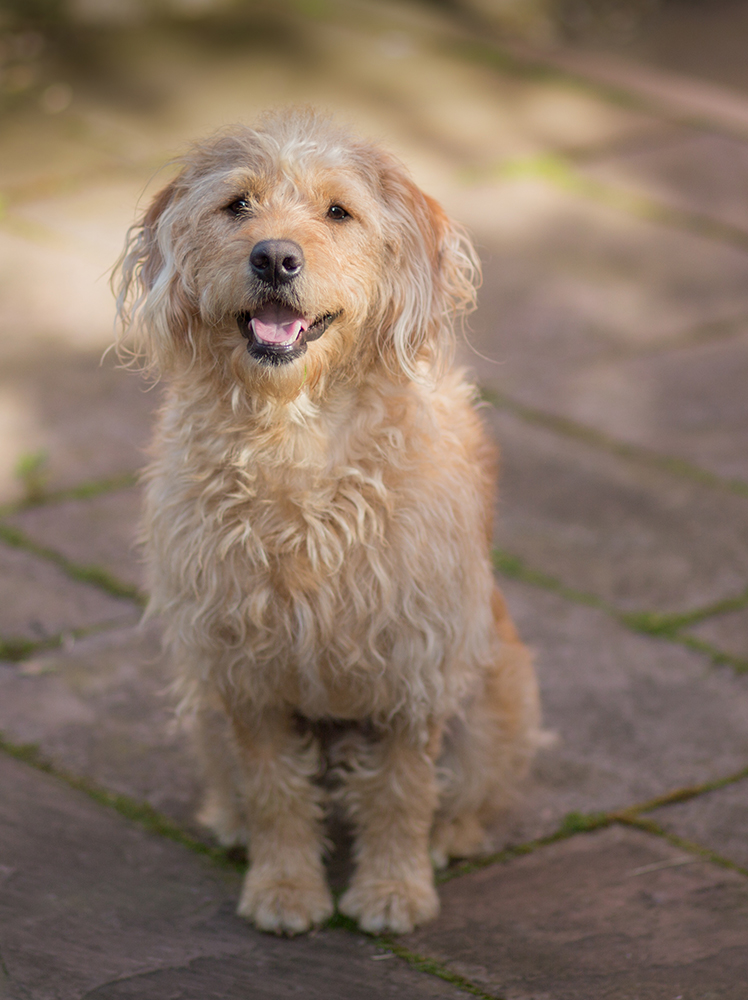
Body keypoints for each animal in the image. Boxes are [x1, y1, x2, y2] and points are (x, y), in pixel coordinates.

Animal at [115, 109, 536, 936]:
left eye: (339, 211)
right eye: (237, 205)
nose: (275, 257)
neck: (297, 438)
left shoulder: (414, 665)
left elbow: (403, 792)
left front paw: (394, 892)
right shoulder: (243, 669)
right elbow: (276, 791)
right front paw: (284, 890)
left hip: (493, 707)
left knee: (462, 793)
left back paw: (453, 838)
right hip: (204, 704)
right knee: (243, 786)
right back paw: (230, 823)